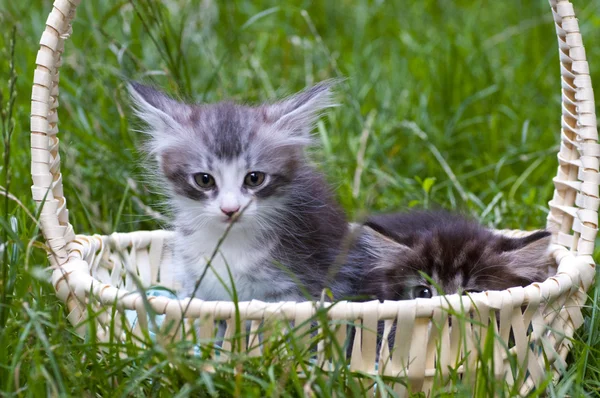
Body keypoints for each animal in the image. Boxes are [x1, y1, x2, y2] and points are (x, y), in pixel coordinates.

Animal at [126, 81, 354, 302]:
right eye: (204, 180)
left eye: (254, 179)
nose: (230, 209)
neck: (229, 242)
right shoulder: (195, 281)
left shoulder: (297, 285)